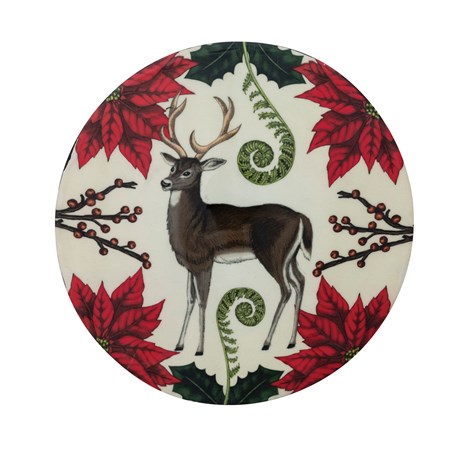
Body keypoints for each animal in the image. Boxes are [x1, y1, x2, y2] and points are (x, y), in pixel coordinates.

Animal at [159, 93, 313, 356]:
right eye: (173, 166)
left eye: (188, 172)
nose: (165, 182)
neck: (193, 225)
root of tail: (300, 216)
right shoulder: (190, 264)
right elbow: (189, 300)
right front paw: (179, 344)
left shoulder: (204, 260)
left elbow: (203, 301)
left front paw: (199, 349)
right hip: (290, 256)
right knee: (301, 282)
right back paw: (291, 341)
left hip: (272, 252)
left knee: (286, 289)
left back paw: (267, 342)